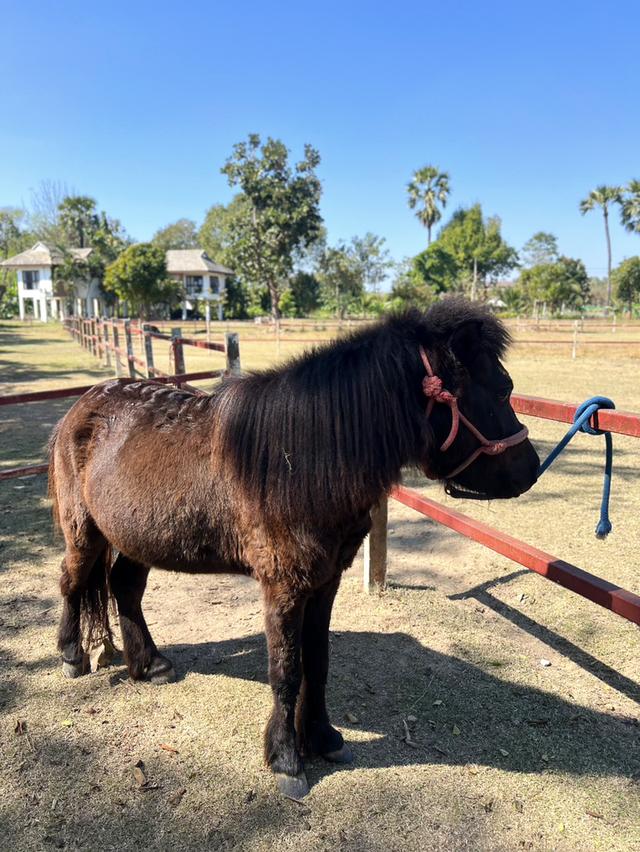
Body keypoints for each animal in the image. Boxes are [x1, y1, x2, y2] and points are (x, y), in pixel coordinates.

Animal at [48, 298, 539, 800]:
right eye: (503, 390)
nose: (532, 469)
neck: (302, 461)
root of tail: (84, 405)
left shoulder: (325, 582)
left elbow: (317, 661)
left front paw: (322, 738)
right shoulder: (283, 587)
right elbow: (285, 670)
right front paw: (286, 758)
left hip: (135, 537)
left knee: (124, 587)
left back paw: (150, 665)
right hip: (85, 532)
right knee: (72, 581)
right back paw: (71, 656)